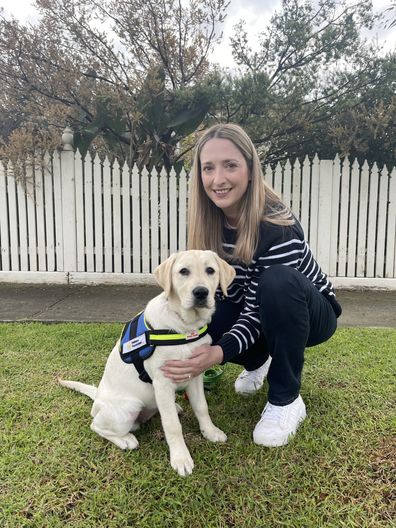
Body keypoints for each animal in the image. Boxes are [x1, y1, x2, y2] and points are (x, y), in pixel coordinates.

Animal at [58, 250, 235, 476]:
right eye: (183, 271)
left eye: (210, 270)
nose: (201, 292)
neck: (185, 328)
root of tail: (98, 396)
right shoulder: (162, 381)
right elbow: (172, 425)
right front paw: (180, 458)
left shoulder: (195, 374)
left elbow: (202, 407)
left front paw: (210, 432)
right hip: (128, 408)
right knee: (96, 426)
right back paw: (126, 440)